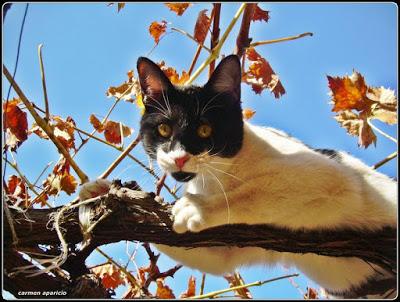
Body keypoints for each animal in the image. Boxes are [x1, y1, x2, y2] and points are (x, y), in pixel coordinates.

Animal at [79, 55, 396, 298]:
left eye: (205, 129)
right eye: (164, 129)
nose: (179, 157)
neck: (222, 175)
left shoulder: (330, 177)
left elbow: (257, 193)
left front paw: (196, 208)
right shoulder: (233, 248)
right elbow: (215, 258)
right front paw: (99, 192)